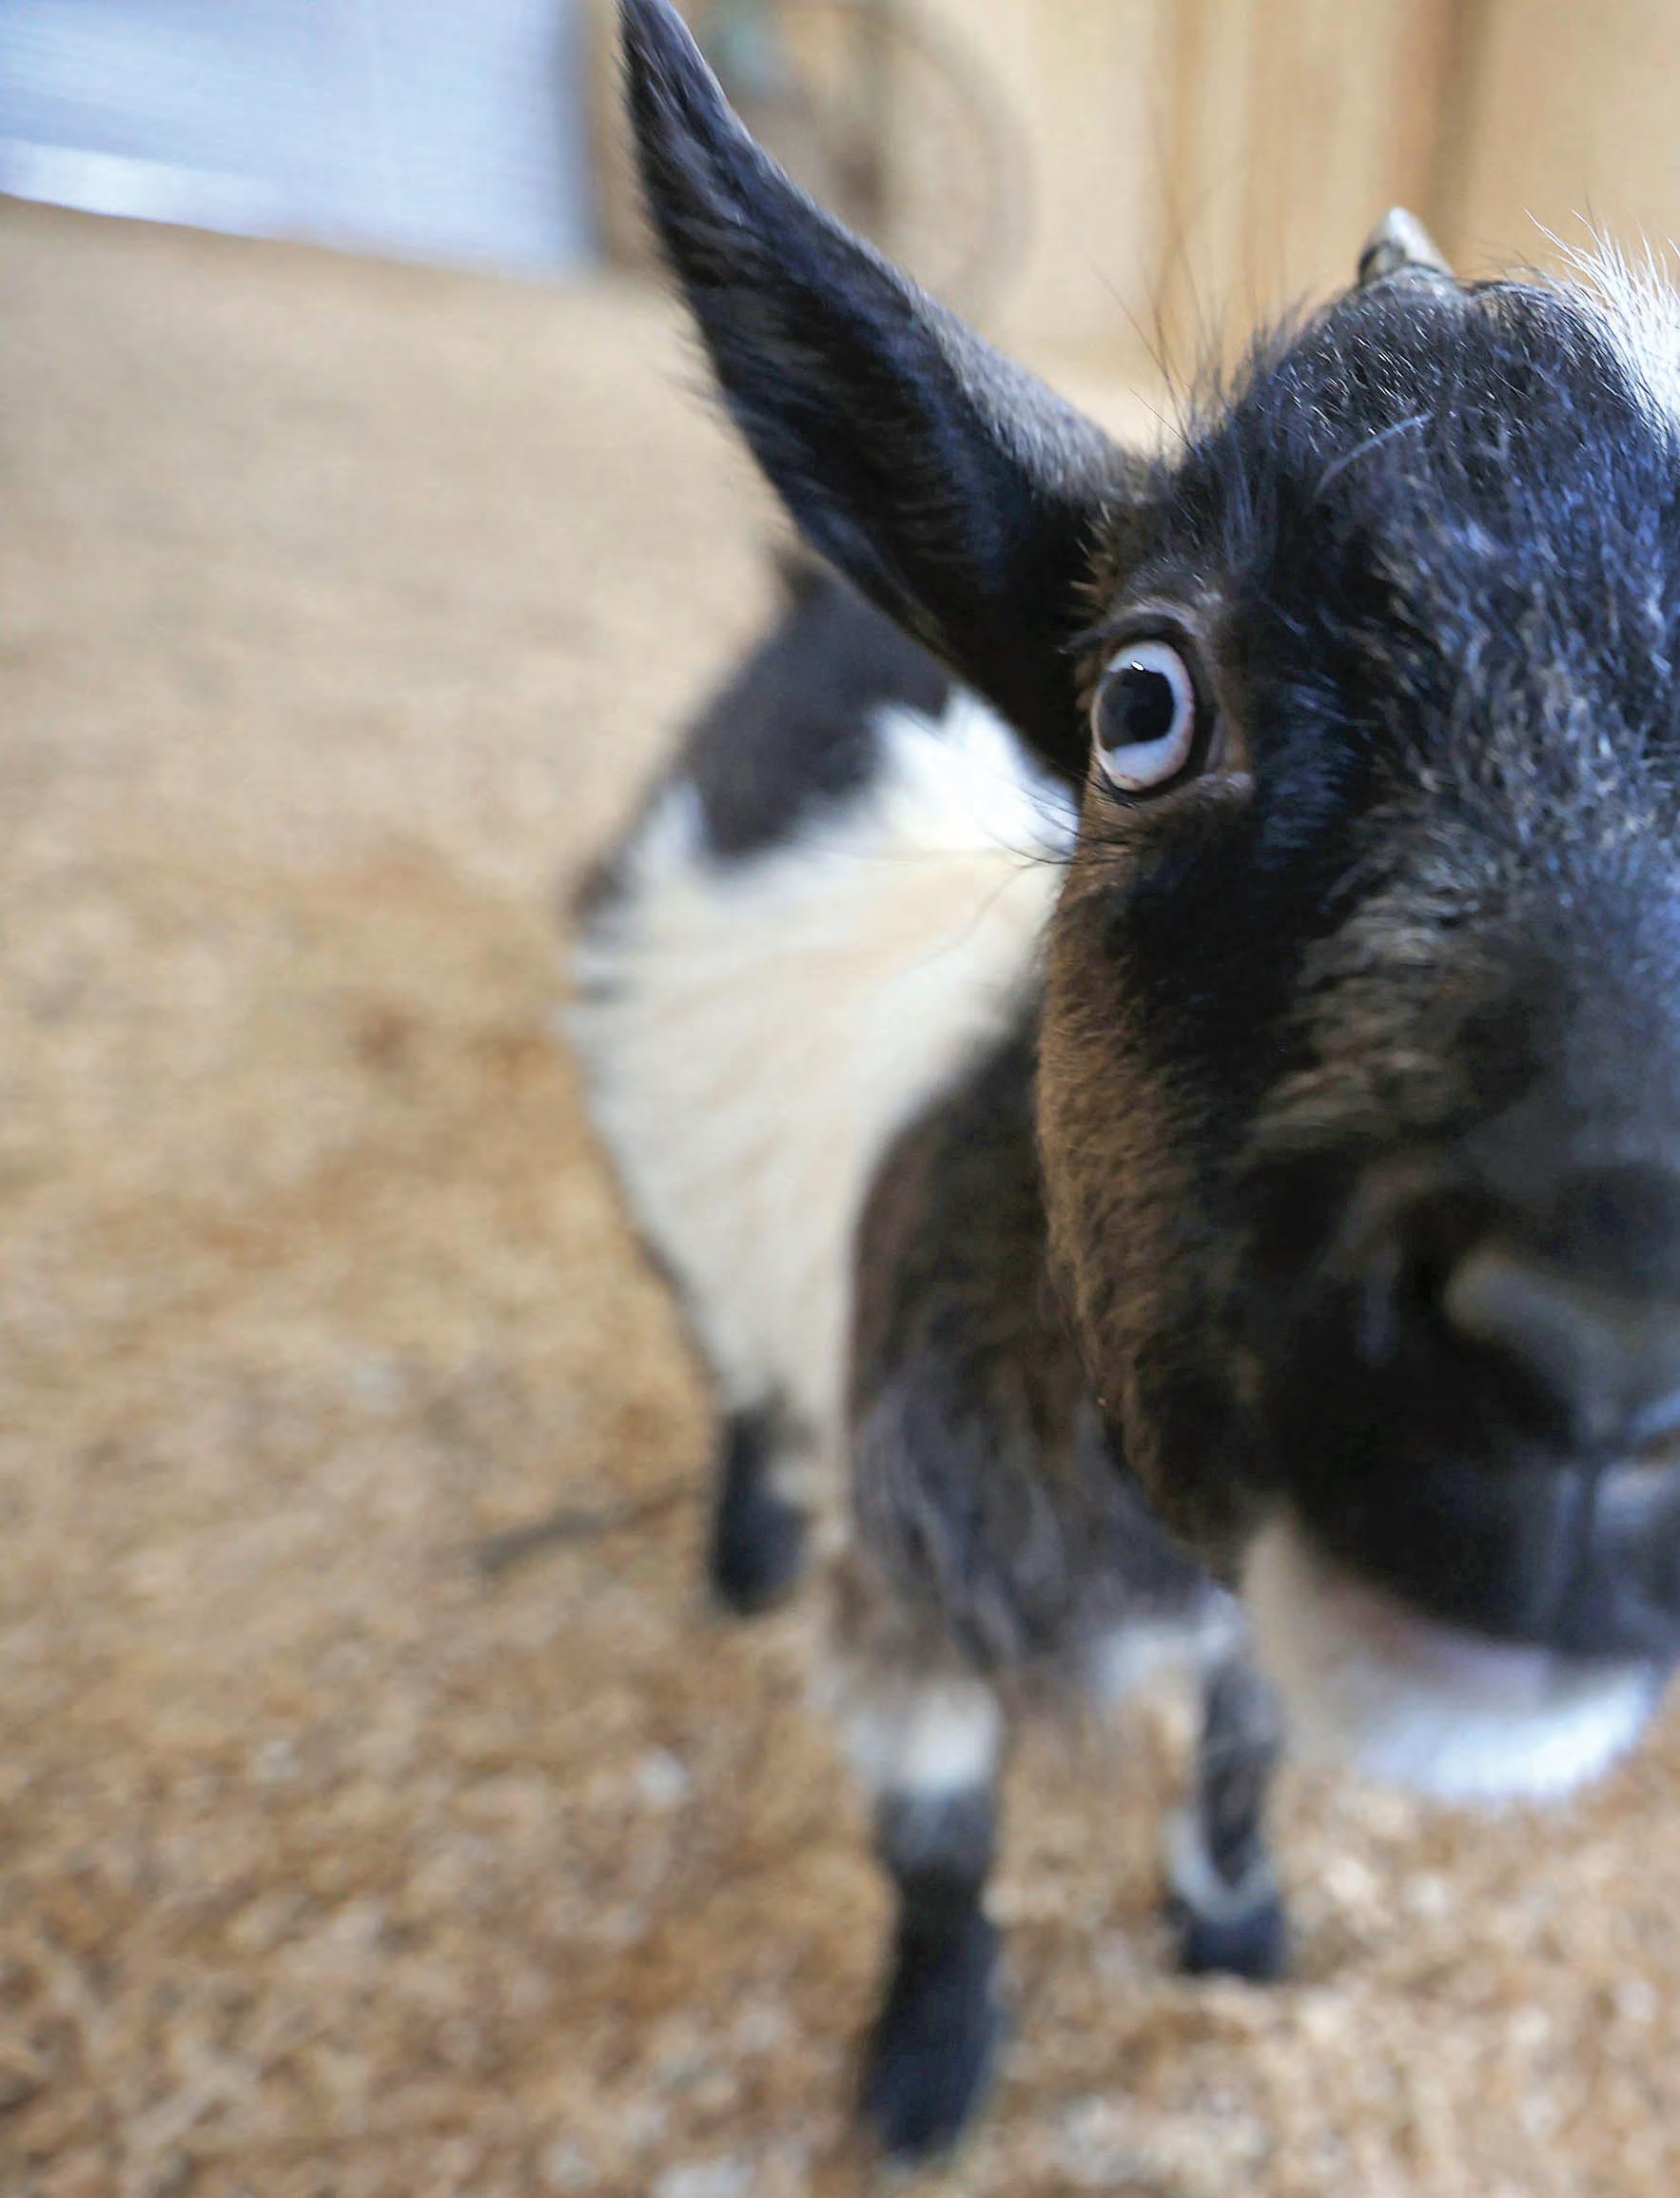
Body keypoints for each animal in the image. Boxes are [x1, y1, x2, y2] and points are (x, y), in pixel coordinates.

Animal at [572, 0, 1680, 2159]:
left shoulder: (1244, 1623)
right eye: (1141, 706)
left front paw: (1232, 1935)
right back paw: (741, 1550)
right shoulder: (916, 1607)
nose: (1602, 1353)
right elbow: (934, 1851)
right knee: (724, 1363)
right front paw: (925, 2079)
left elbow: (1243, 1767)